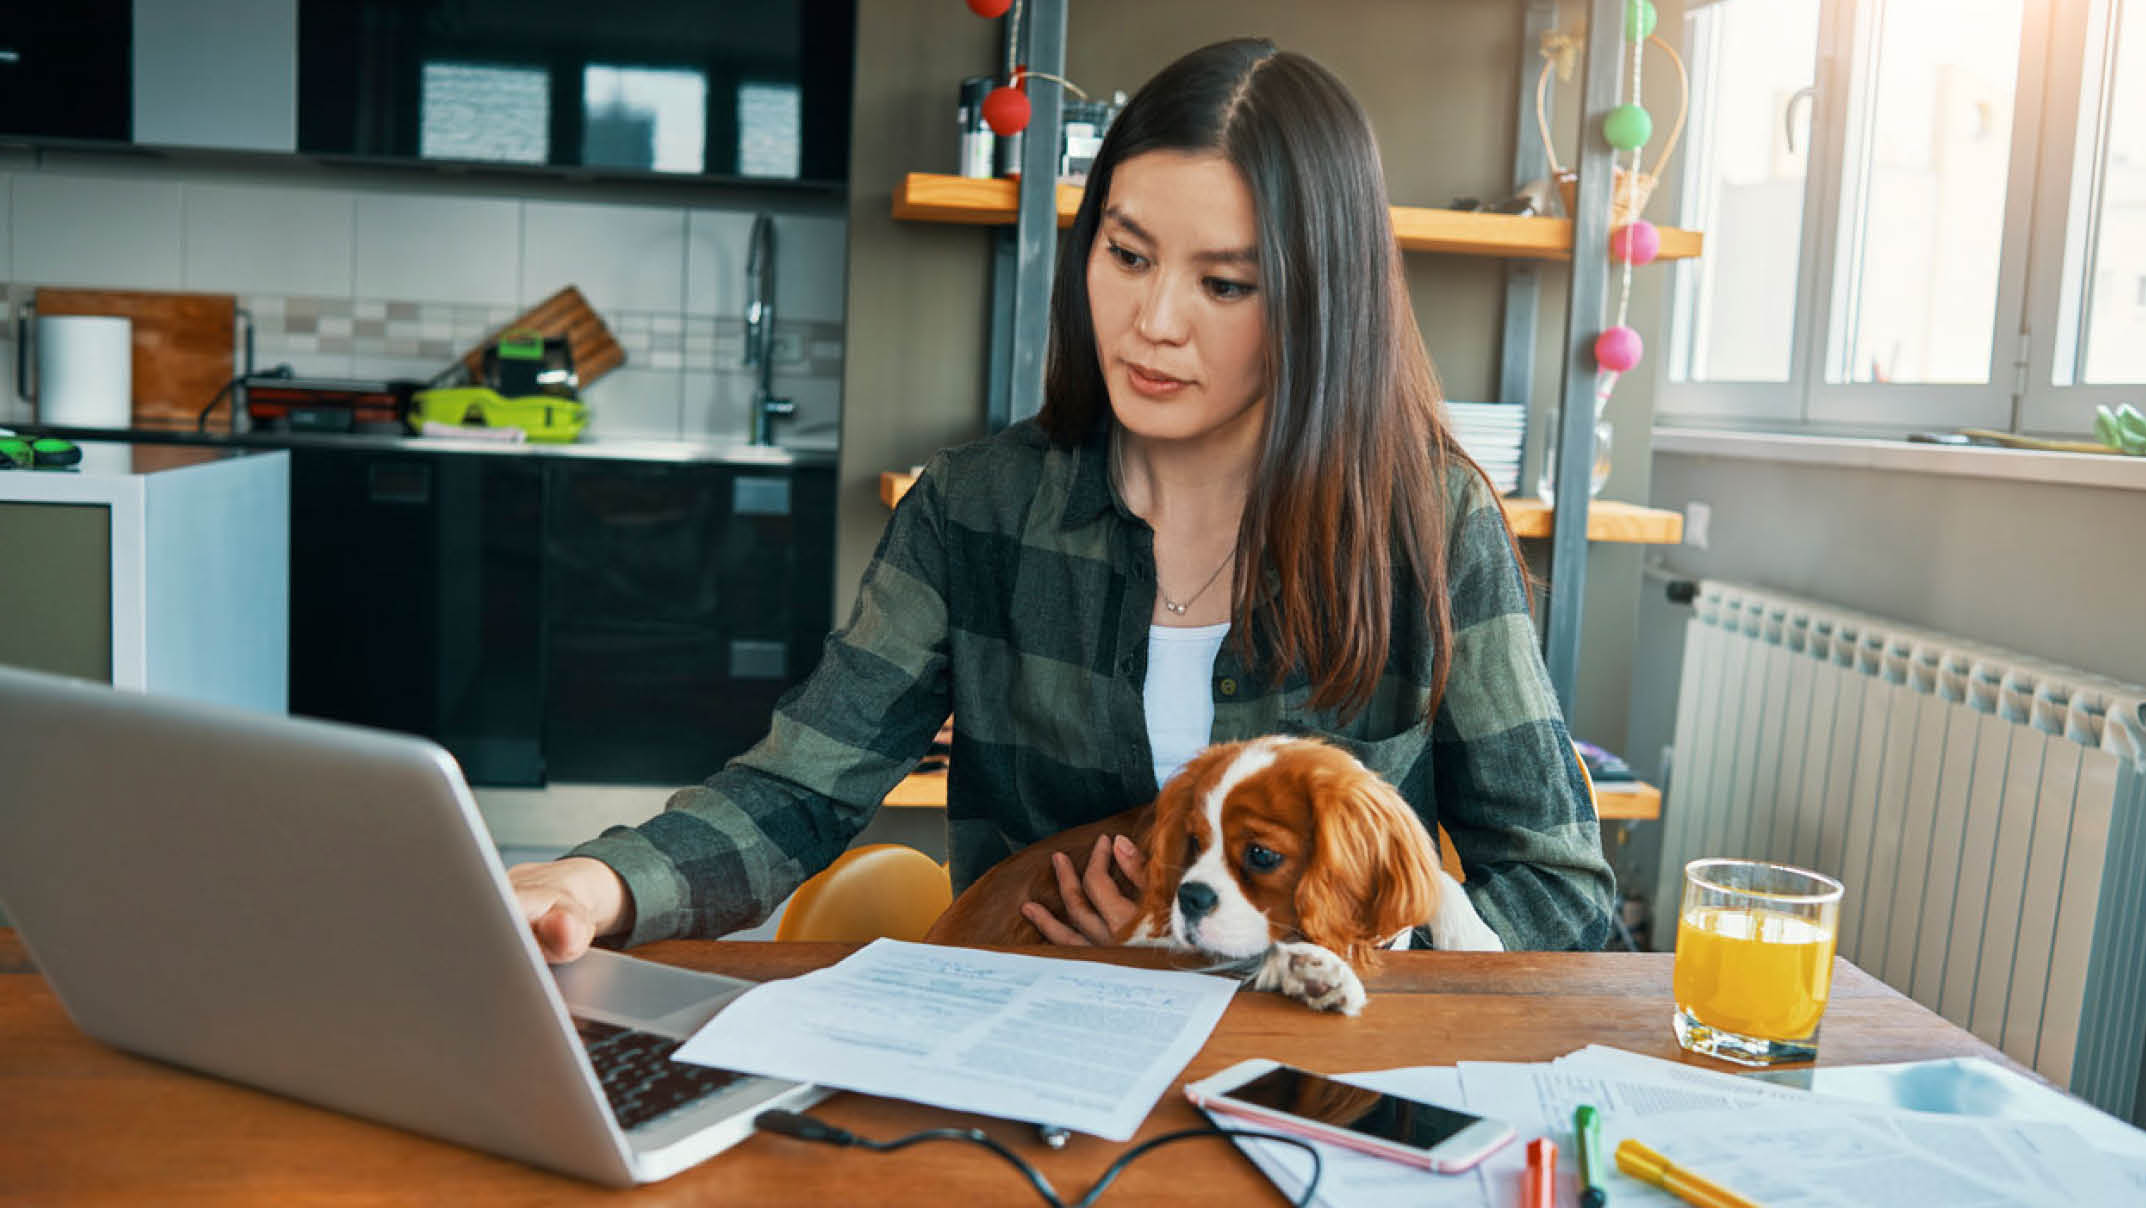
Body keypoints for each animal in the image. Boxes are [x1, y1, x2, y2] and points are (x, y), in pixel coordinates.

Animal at [927, 738, 1510, 1012]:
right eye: (1193, 844)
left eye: (1261, 855)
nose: (1190, 897)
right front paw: (1316, 973)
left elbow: (1435, 873)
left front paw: (1472, 936)